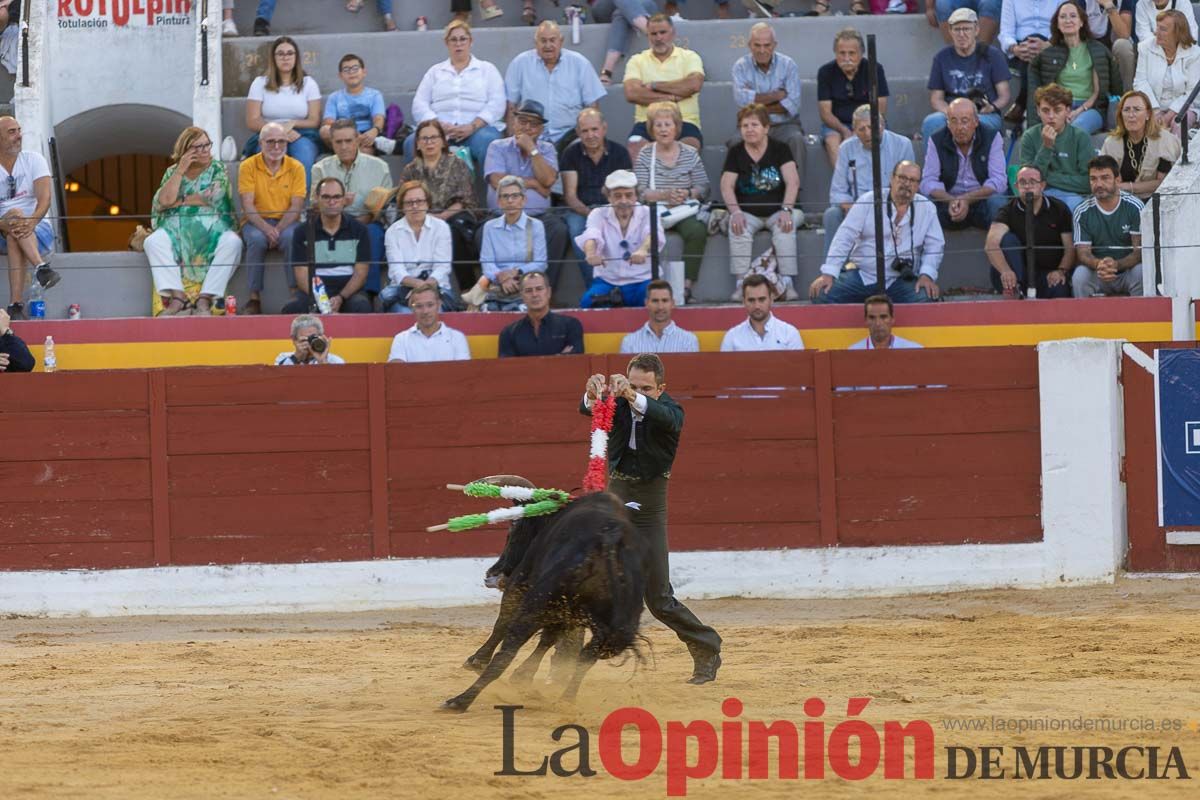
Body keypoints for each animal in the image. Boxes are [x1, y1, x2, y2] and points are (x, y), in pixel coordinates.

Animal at [441, 494, 648, 714]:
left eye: (512, 533)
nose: (493, 573)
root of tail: (610, 539)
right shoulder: (568, 612)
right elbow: (549, 638)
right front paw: (522, 676)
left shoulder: (520, 582)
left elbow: (502, 625)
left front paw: (477, 661)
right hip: (617, 631)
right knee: (586, 658)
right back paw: (565, 700)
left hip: (536, 600)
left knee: (506, 653)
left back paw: (459, 701)